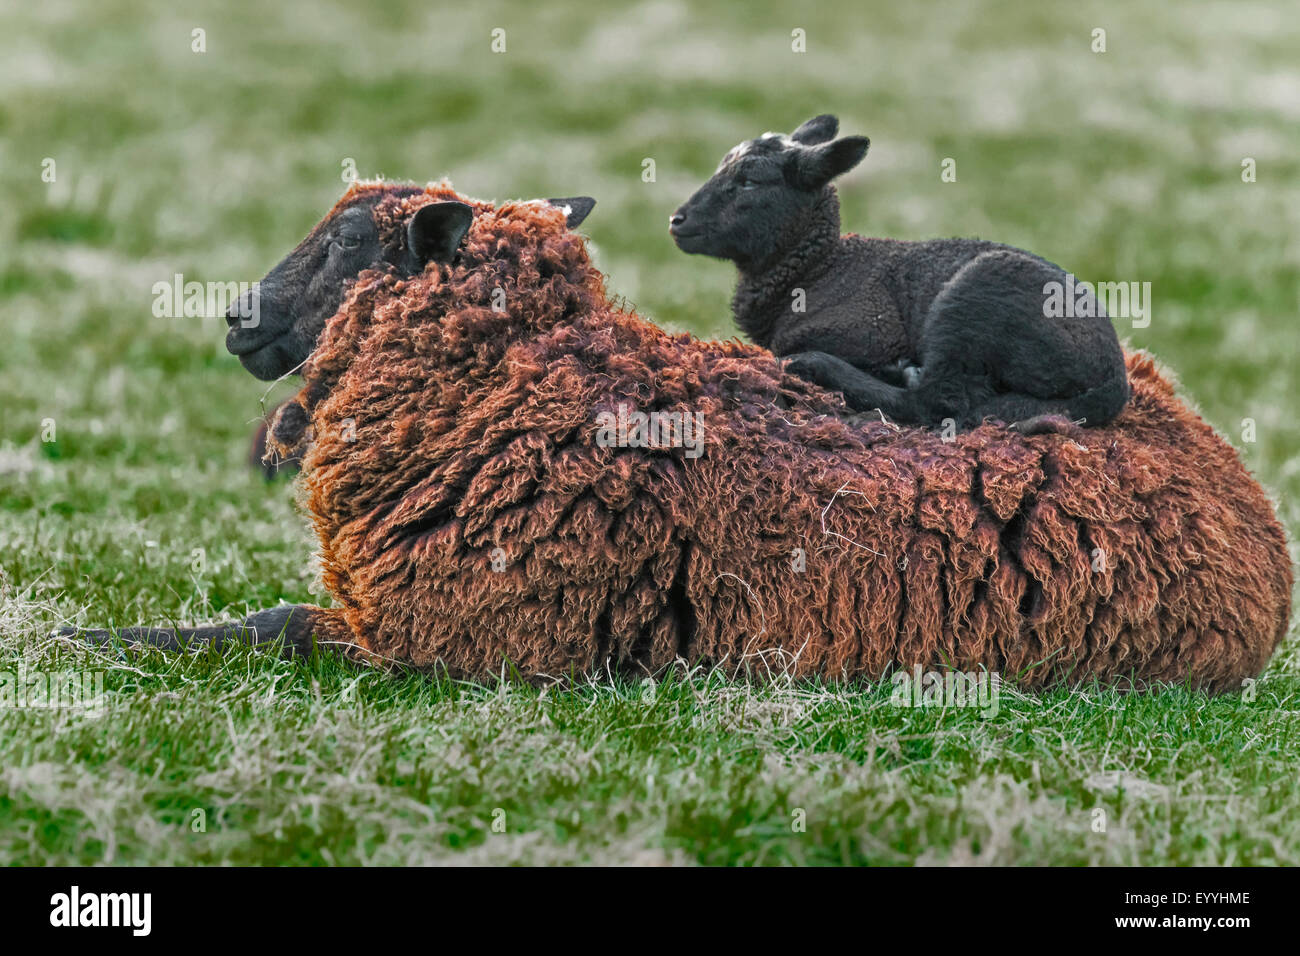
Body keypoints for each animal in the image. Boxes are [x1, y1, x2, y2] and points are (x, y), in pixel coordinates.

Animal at [68, 180, 1289, 686]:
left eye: (354, 239)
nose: (238, 320)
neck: (533, 386)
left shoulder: (465, 644)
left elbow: (267, 627)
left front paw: (88, 640)